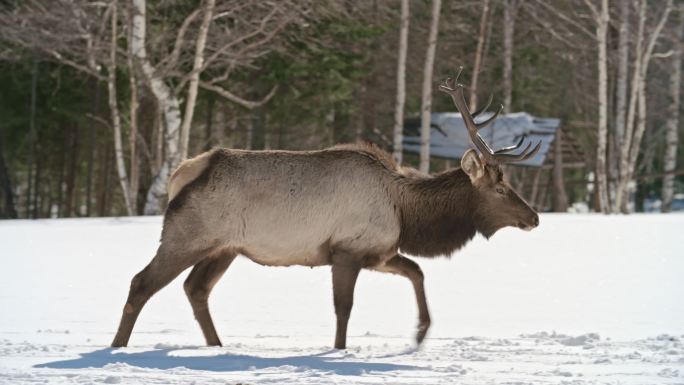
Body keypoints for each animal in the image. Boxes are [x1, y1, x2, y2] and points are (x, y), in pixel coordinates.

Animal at [111, 70, 540, 350]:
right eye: (500, 187)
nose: (534, 217)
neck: (407, 212)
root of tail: (183, 173)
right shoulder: (345, 250)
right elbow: (343, 308)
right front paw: (339, 349)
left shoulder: (378, 252)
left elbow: (416, 271)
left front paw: (420, 332)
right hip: (188, 235)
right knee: (141, 282)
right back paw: (117, 347)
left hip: (224, 248)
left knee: (195, 289)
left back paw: (218, 346)